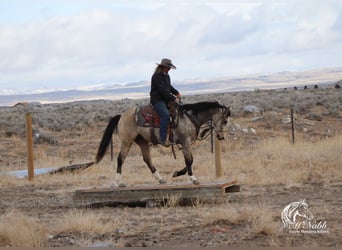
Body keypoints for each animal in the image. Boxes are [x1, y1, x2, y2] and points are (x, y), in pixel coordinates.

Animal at [95, 100, 231, 187]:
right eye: (225, 121)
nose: (221, 137)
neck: (189, 118)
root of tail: (122, 116)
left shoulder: (185, 143)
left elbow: (190, 160)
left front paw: (177, 173)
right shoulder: (185, 142)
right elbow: (189, 160)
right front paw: (193, 179)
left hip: (142, 141)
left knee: (147, 159)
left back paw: (160, 179)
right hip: (127, 141)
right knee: (120, 159)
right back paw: (118, 182)